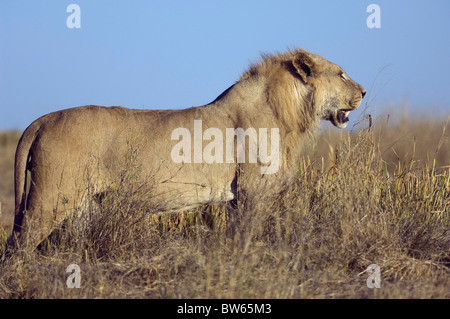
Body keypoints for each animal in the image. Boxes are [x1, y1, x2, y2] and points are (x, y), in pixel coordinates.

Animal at [6, 48, 366, 254]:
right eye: (341, 74)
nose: (363, 91)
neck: (289, 112)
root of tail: (41, 121)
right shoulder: (253, 192)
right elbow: (249, 236)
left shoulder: (238, 197)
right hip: (51, 198)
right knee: (17, 245)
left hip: (82, 206)